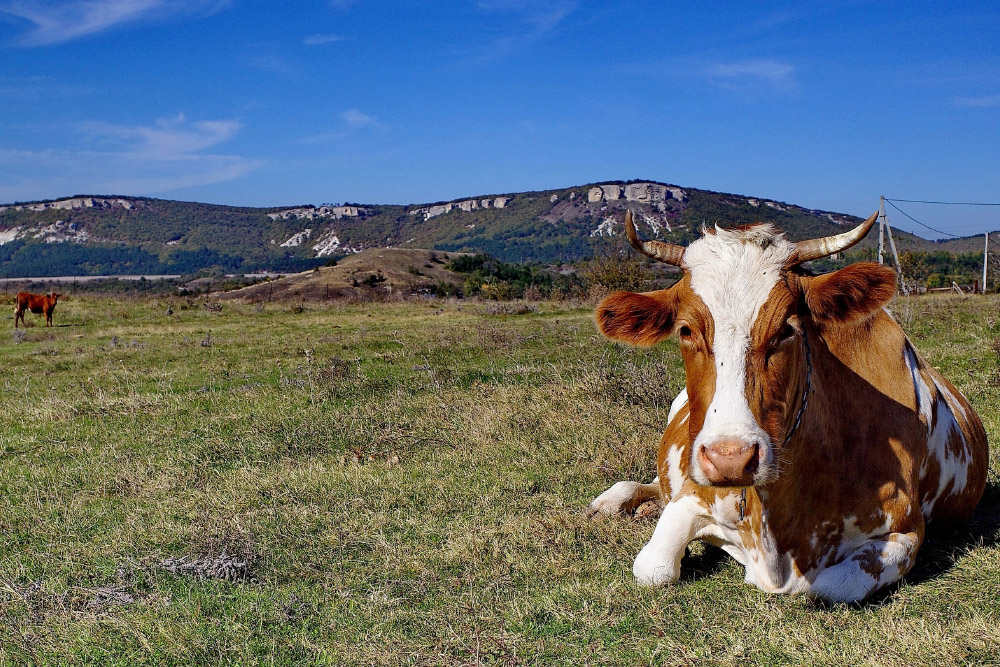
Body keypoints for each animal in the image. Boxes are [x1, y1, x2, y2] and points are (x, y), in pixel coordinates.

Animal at [588, 214, 988, 604]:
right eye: (686, 331)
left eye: (785, 329)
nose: (730, 459)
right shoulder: (692, 495)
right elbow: (653, 568)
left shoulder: (906, 532)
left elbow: (830, 587)